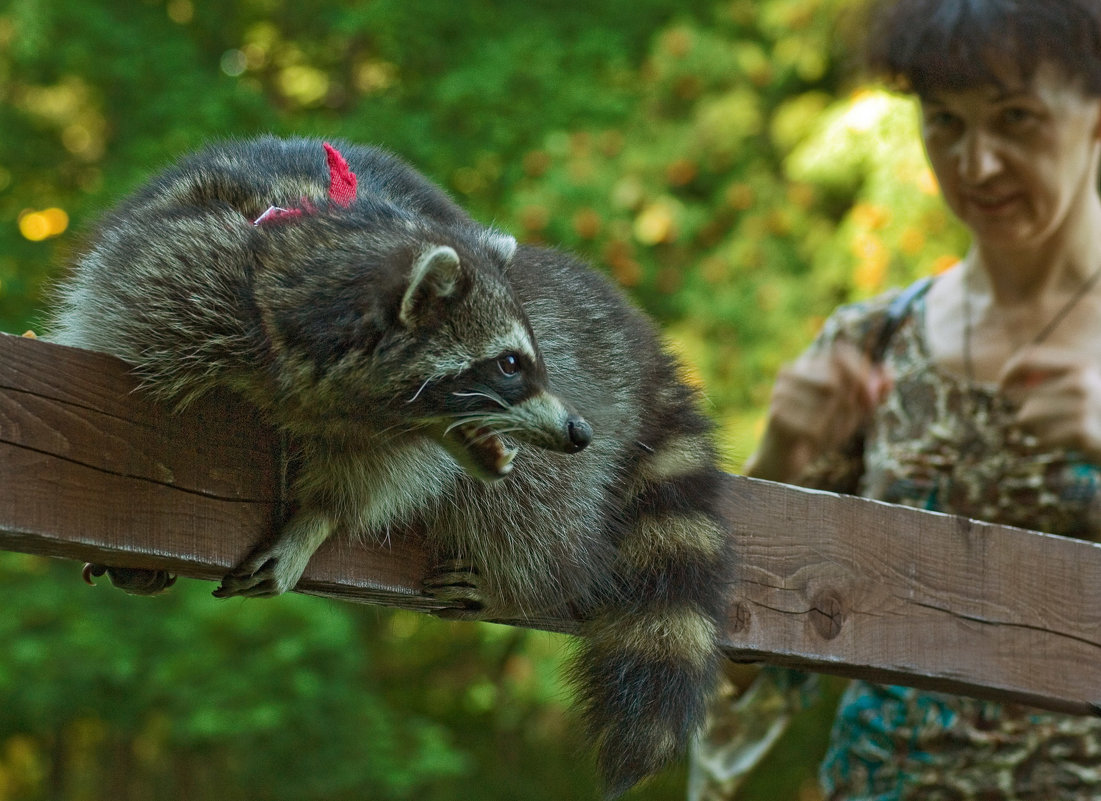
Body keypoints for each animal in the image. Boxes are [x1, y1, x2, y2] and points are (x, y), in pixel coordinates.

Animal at [53, 135, 739, 796]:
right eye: (509, 364)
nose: (580, 431)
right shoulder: (178, 279)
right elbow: (114, 331)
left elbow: (376, 479)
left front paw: (318, 518)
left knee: (535, 510)